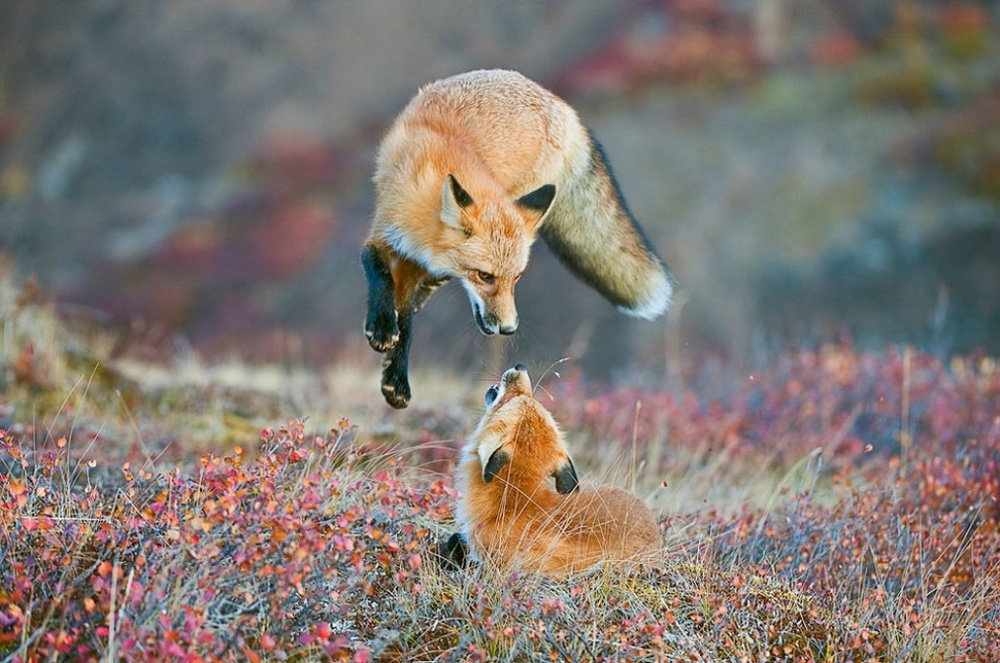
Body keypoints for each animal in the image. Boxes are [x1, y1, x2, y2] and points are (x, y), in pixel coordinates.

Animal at [360, 68, 672, 410]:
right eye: (484, 276)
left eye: (517, 277)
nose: (510, 329)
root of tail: (559, 104)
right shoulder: (389, 230)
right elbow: (375, 264)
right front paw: (382, 327)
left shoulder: (416, 260)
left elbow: (406, 317)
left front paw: (395, 378)